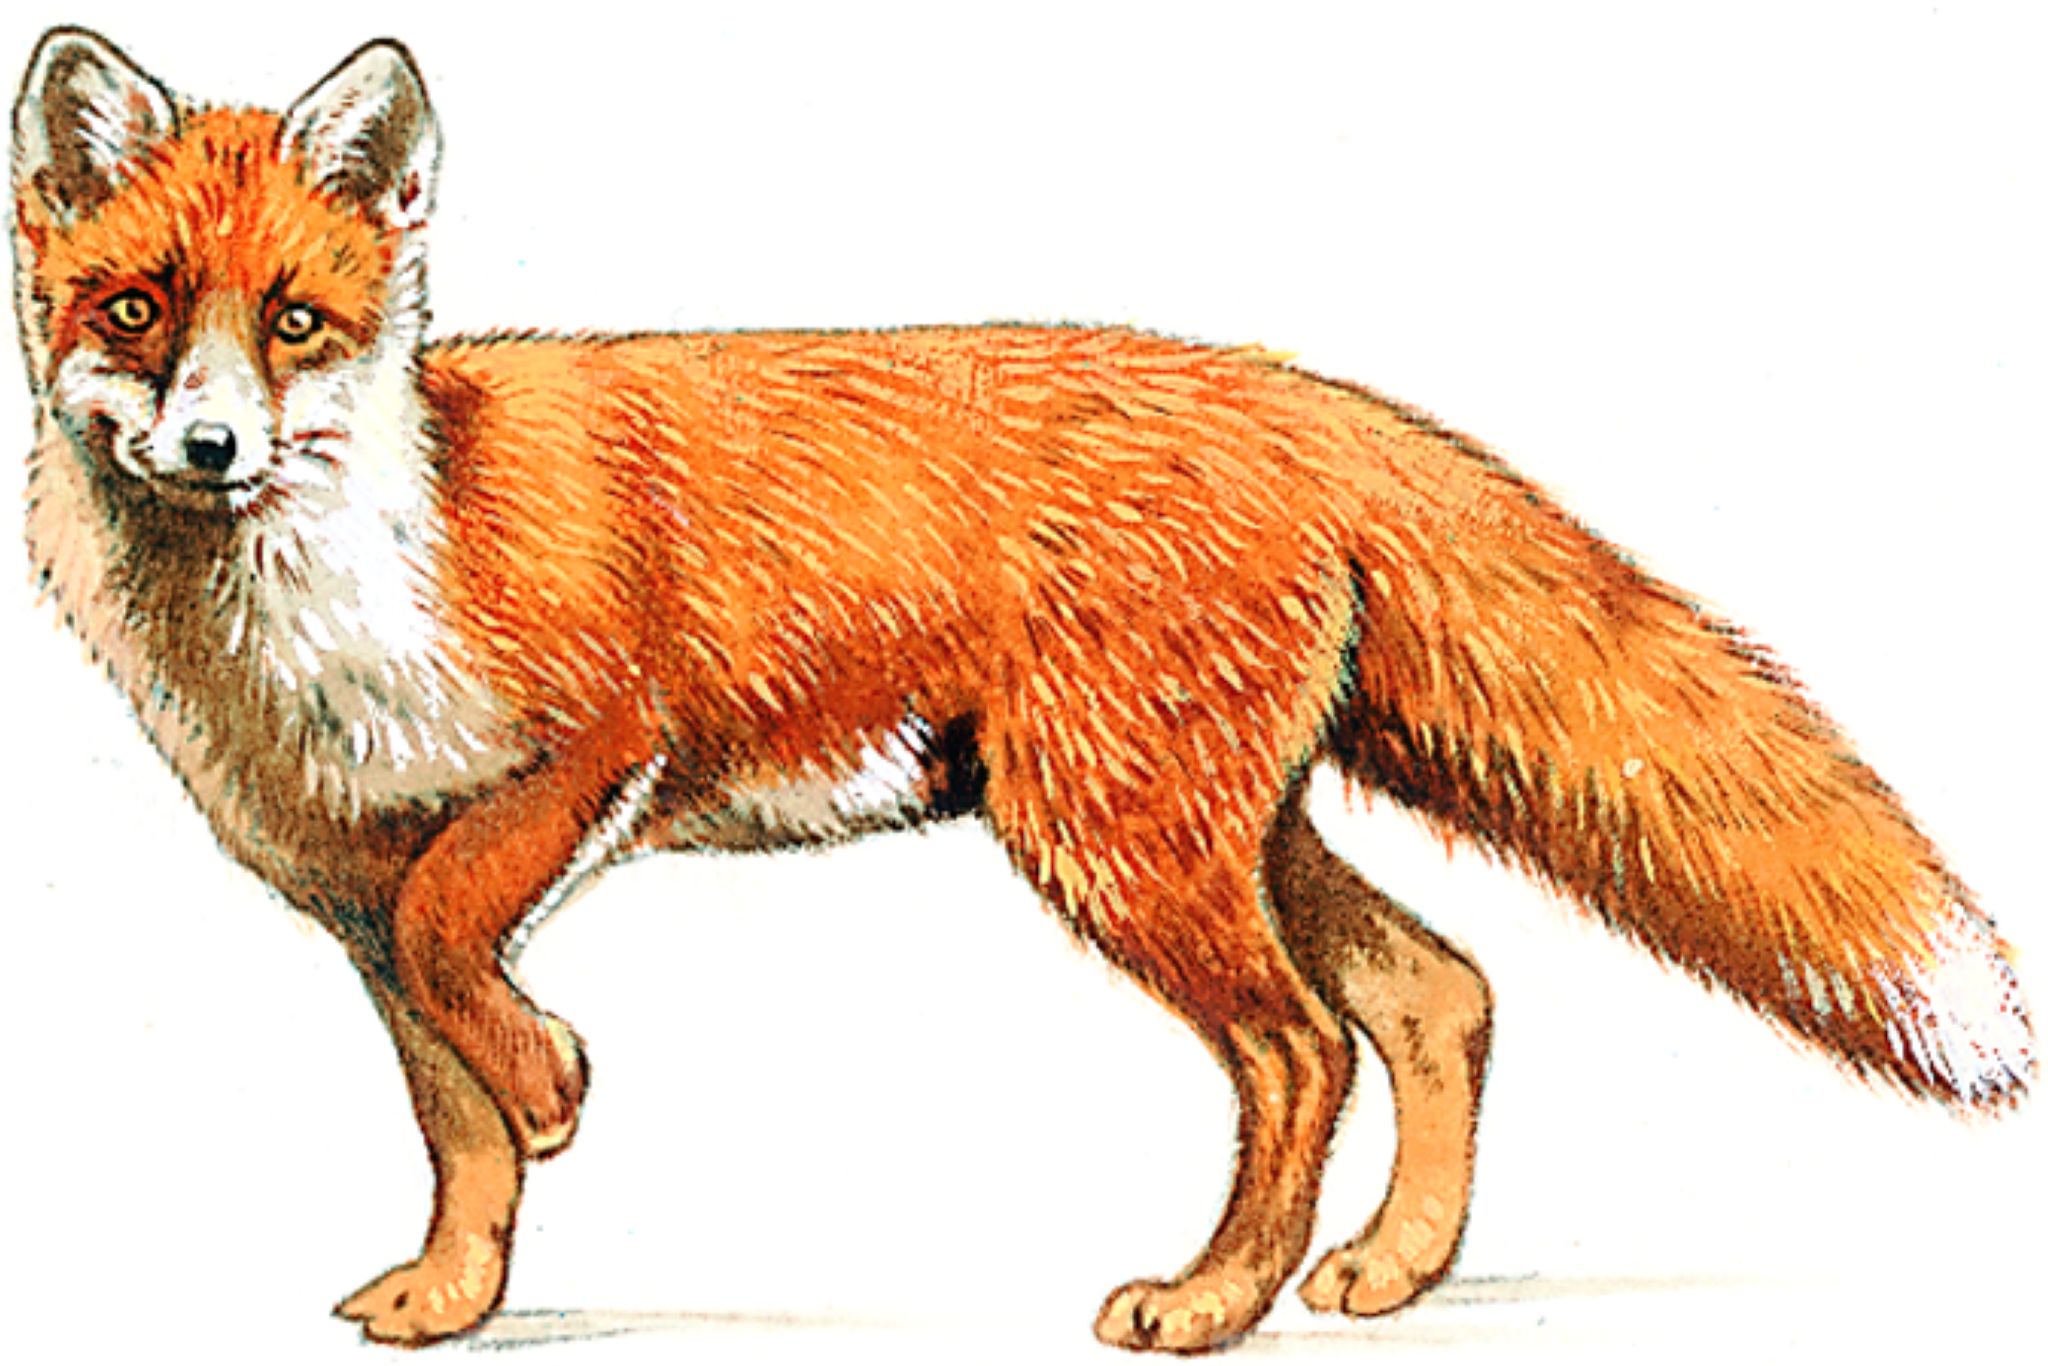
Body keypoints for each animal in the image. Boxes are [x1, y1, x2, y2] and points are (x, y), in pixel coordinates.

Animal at [9, 24, 2035, 1355]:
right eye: (132, 310)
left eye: (293, 321)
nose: (205, 448)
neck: (329, 609)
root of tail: (1291, 390)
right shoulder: (352, 894)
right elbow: (455, 1121)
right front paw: (452, 1291)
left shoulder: (595, 745)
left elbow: (473, 970)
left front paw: (557, 1076)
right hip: (1211, 832)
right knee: (1437, 992)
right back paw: (1385, 1272)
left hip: (1111, 843)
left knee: (1303, 1046)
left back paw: (1214, 1300)